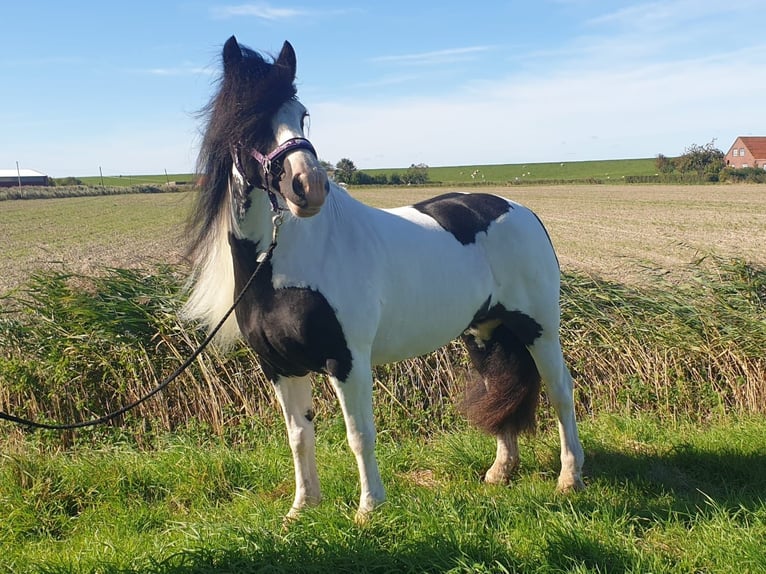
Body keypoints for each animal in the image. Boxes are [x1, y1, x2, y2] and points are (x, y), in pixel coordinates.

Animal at [184, 36, 585, 521]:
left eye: (302, 114)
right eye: (249, 118)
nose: (309, 186)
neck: (284, 264)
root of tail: (521, 210)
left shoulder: (346, 360)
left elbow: (359, 435)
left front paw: (369, 509)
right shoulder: (279, 366)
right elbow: (299, 437)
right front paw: (302, 508)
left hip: (538, 329)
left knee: (561, 392)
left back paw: (570, 478)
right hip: (484, 332)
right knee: (499, 388)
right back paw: (500, 473)